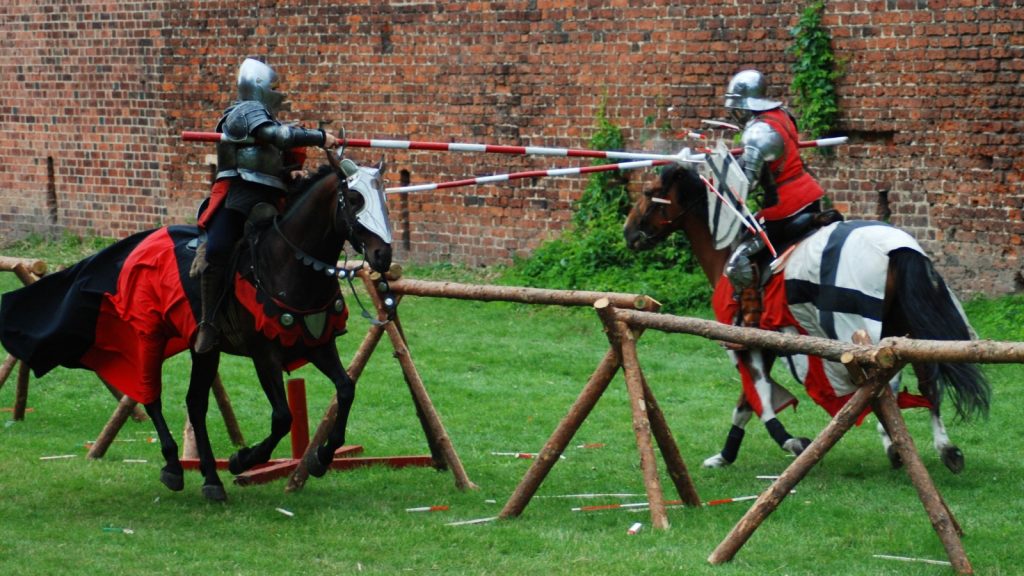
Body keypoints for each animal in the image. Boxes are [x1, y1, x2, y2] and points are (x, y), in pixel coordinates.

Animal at [0, 151, 393, 498]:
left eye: (384, 198)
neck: (285, 263)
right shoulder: (264, 353)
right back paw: (176, 466)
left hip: (204, 350)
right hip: (148, 336)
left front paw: (321, 458)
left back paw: (210, 480)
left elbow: (346, 390)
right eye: (354, 199)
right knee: (152, 397)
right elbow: (283, 416)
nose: (382, 256)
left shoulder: (317, 344)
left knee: (195, 404)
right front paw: (241, 460)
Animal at [622, 161, 991, 471]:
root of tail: (899, 249)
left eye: (648, 193)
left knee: (888, 384)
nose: (629, 233)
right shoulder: (765, 342)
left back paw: (896, 445)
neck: (728, 248)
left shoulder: (749, 344)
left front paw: (791, 442)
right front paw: (725, 455)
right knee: (927, 382)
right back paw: (944, 449)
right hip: (906, 328)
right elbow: (745, 405)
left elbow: (759, 399)